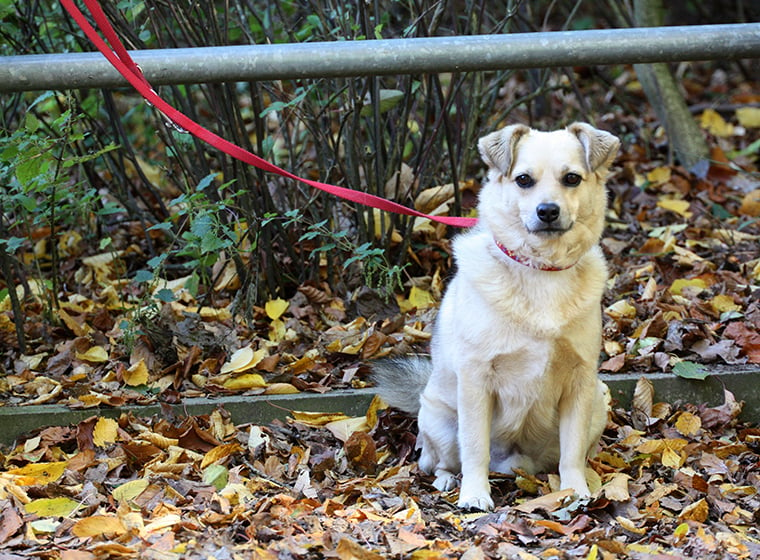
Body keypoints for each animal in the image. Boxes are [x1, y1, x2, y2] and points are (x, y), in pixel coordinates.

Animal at [372, 123, 616, 512]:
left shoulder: (580, 380)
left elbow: (572, 452)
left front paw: (575, 490)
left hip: (598, 399)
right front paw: (475, 494)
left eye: (572, 178)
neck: (540, 269)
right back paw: (447, 481)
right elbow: (474, 448)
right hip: (441, 421)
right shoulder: (476, 380)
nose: (548, 211)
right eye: (523, 179)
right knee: (438, 460)